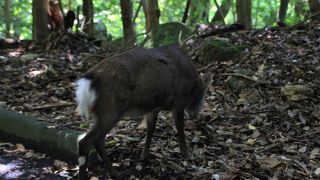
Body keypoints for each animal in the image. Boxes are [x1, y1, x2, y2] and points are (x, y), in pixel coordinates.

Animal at [75, 45, 212, 179]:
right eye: (203, 96)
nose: (194, 115)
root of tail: (86, 85)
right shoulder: (178, 101)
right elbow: (180, 127)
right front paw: (185, 154)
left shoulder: (154, 107)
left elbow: (150, 128)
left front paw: (144, 155)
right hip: (110, 111)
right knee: (85, 142)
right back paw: (86, 176)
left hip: (103, 114)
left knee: (98, 141)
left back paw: (115, 173)